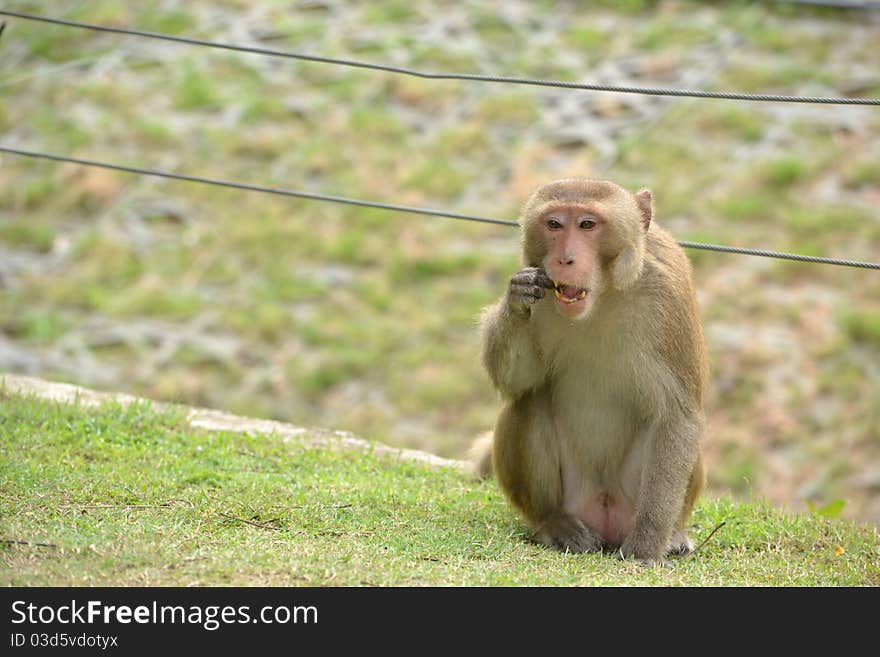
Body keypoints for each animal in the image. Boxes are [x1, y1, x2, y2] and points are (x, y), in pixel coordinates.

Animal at [474, 179, 708, 564]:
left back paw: (671, 534)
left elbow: (677, 415)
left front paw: (645, 548)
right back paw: (555, 523)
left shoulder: (666, 299)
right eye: (554, 224)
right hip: (576, 498)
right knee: (528, 401)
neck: (604, 296)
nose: (564, 259)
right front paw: (516, 299)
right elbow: (517, 381)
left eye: (587, 225)